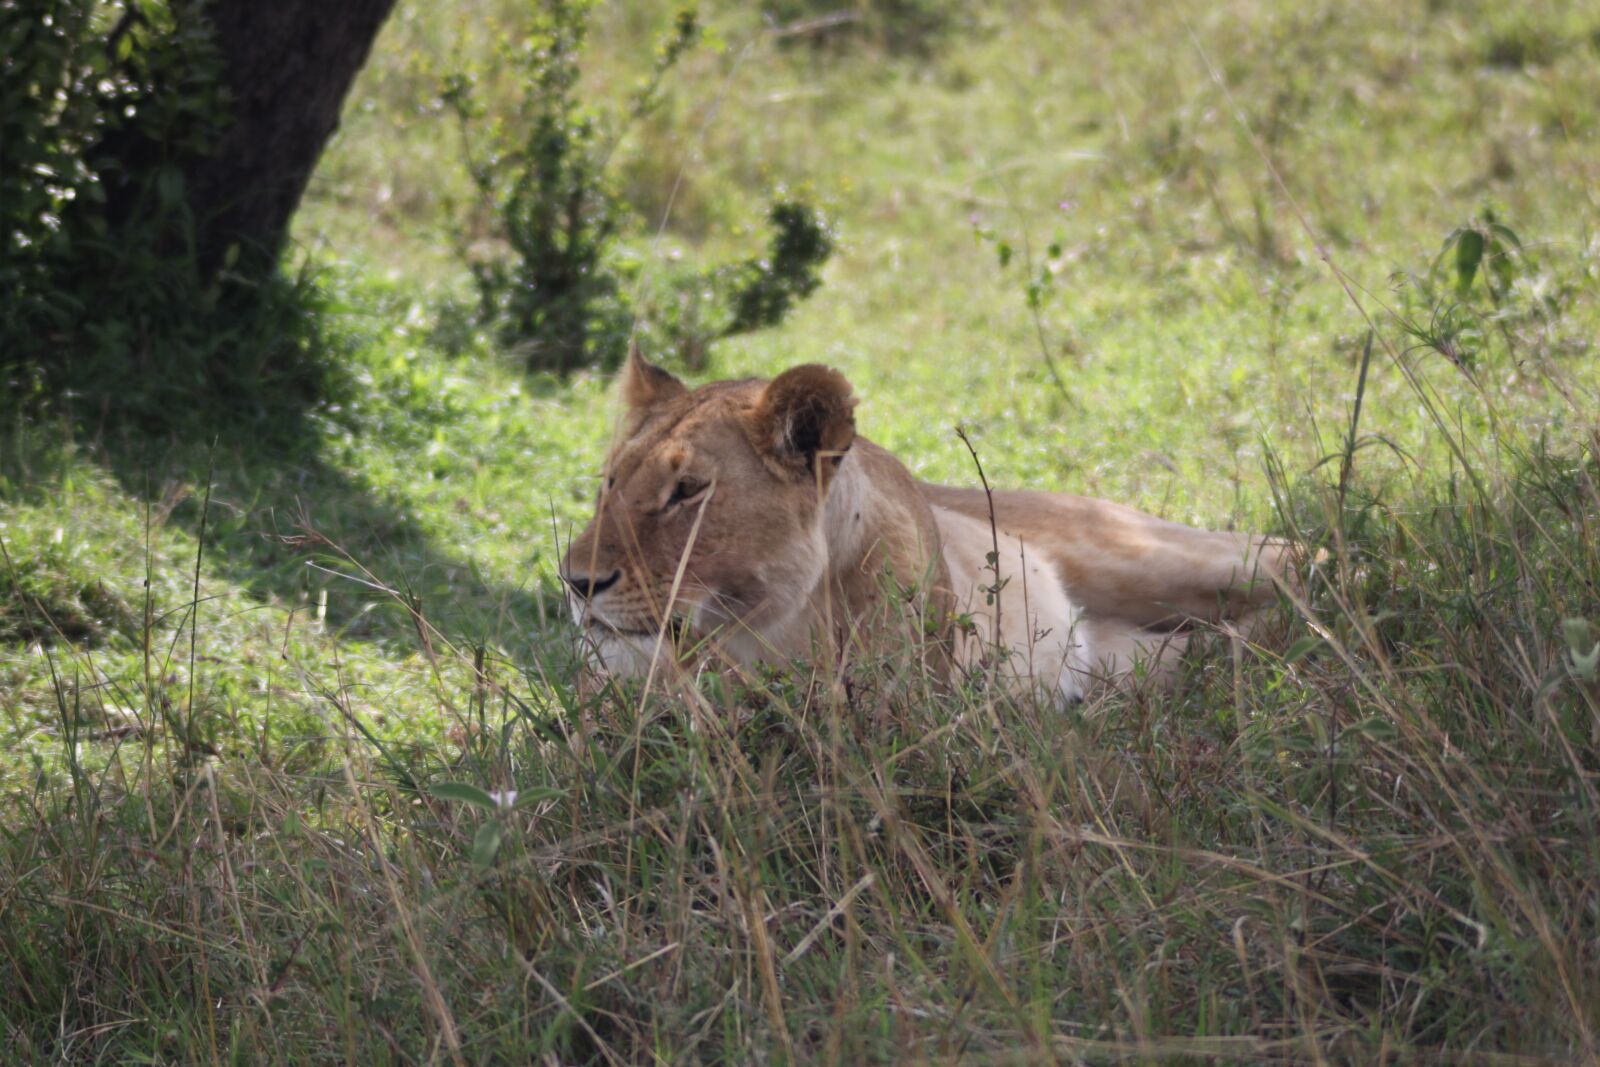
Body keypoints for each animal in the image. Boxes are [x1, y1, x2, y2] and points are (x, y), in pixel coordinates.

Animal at [560, 347, 1298, 701]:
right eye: (610, 482)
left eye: (687, 492)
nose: (575, 582)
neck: (777, 630)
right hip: (1131, 658)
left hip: (1147, 553)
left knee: (1297, 555)